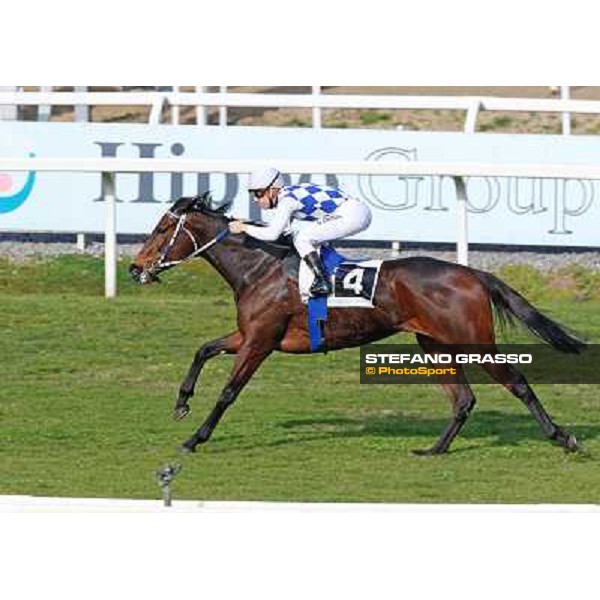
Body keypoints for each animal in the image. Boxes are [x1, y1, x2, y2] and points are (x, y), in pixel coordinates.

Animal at [129, 193, 584, 454]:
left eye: (164, 228)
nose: (135, 268)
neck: (259, 268)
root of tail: (472, 273)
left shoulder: (260, 340)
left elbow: (228, 392)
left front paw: (195, 439)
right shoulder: (250, 334)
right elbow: (203, 349)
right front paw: (182, 403)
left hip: (473, 341)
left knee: (517, 383)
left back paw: (564, 438)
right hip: (434, 343)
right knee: (463, 399)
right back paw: (434, 450)